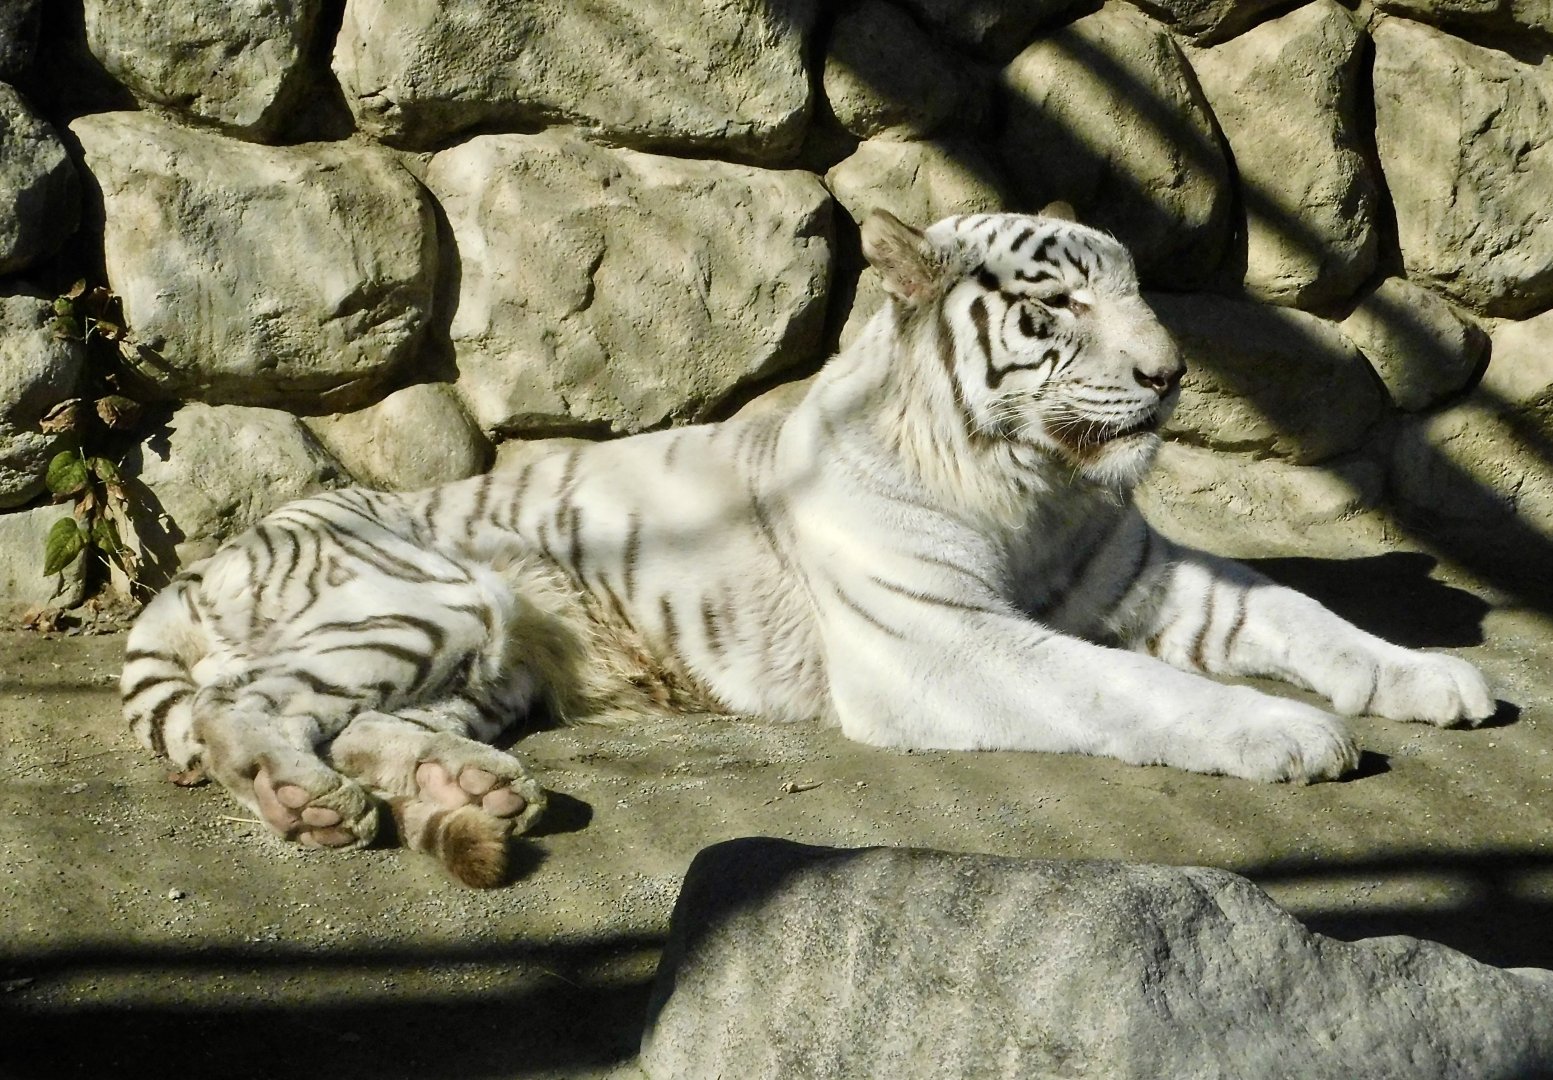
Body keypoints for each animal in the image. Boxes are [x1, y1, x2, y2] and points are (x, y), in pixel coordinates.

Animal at [121, 208, 1497, 887]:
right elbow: (1134, 687)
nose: (1168, 377)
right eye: (1056, 306)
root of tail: (201, 564)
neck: (1035, 487)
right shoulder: (947, 643)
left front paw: (1438, 681)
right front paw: (1288, 735)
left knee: (359, 722)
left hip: (492, 658)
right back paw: (308, 806)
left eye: (1137, 292)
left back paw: (474, 795)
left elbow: (1300, 615)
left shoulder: (1143, 576)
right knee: (252, 707)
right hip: (429, 596)